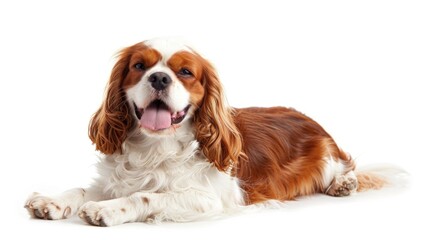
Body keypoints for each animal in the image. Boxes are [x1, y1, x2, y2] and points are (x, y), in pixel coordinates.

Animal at [24, 38, 384, 226]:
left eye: (185, 72)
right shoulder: (116, 180)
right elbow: (82, 189)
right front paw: (52, 201)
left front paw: (108, 209)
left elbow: (146, 195)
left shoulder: (208, 199)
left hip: (327, 159)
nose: (159, 78)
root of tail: (310, 119)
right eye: (139, 66)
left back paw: (344, 183)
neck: (155, 146)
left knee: (347, 167)